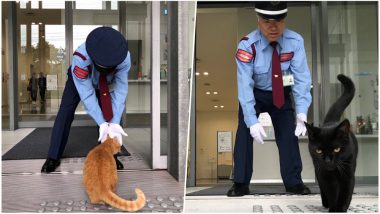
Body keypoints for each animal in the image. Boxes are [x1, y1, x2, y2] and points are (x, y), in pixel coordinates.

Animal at [304, 74, 358, 211]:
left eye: (337, 149)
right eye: (318, 150)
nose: (327, 160)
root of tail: (332, 121)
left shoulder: (348, 175)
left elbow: (345, 194)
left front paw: (341, 209)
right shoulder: (325, 175)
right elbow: (332, 192)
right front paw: (333, 207)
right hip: (317, 168)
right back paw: (326, 203)